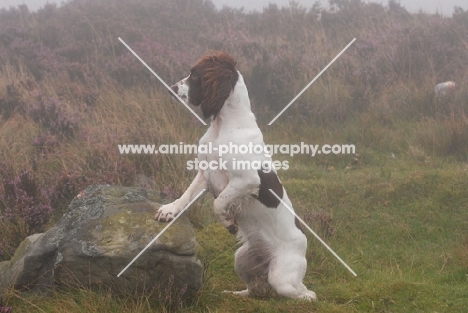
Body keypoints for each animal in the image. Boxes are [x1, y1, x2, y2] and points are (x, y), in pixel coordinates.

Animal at [155, 51, 316, 300]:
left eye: (195, 75)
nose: (171, 88)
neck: (223, 124)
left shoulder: (247, 180)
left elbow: (219, 203)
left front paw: (228, 222)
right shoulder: (205, 172)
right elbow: (186, 195)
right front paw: (170, 210)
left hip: (282, 278)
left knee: (301, 291)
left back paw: (306, 297)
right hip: (241, 258)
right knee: (254, 289)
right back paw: (235, 293)